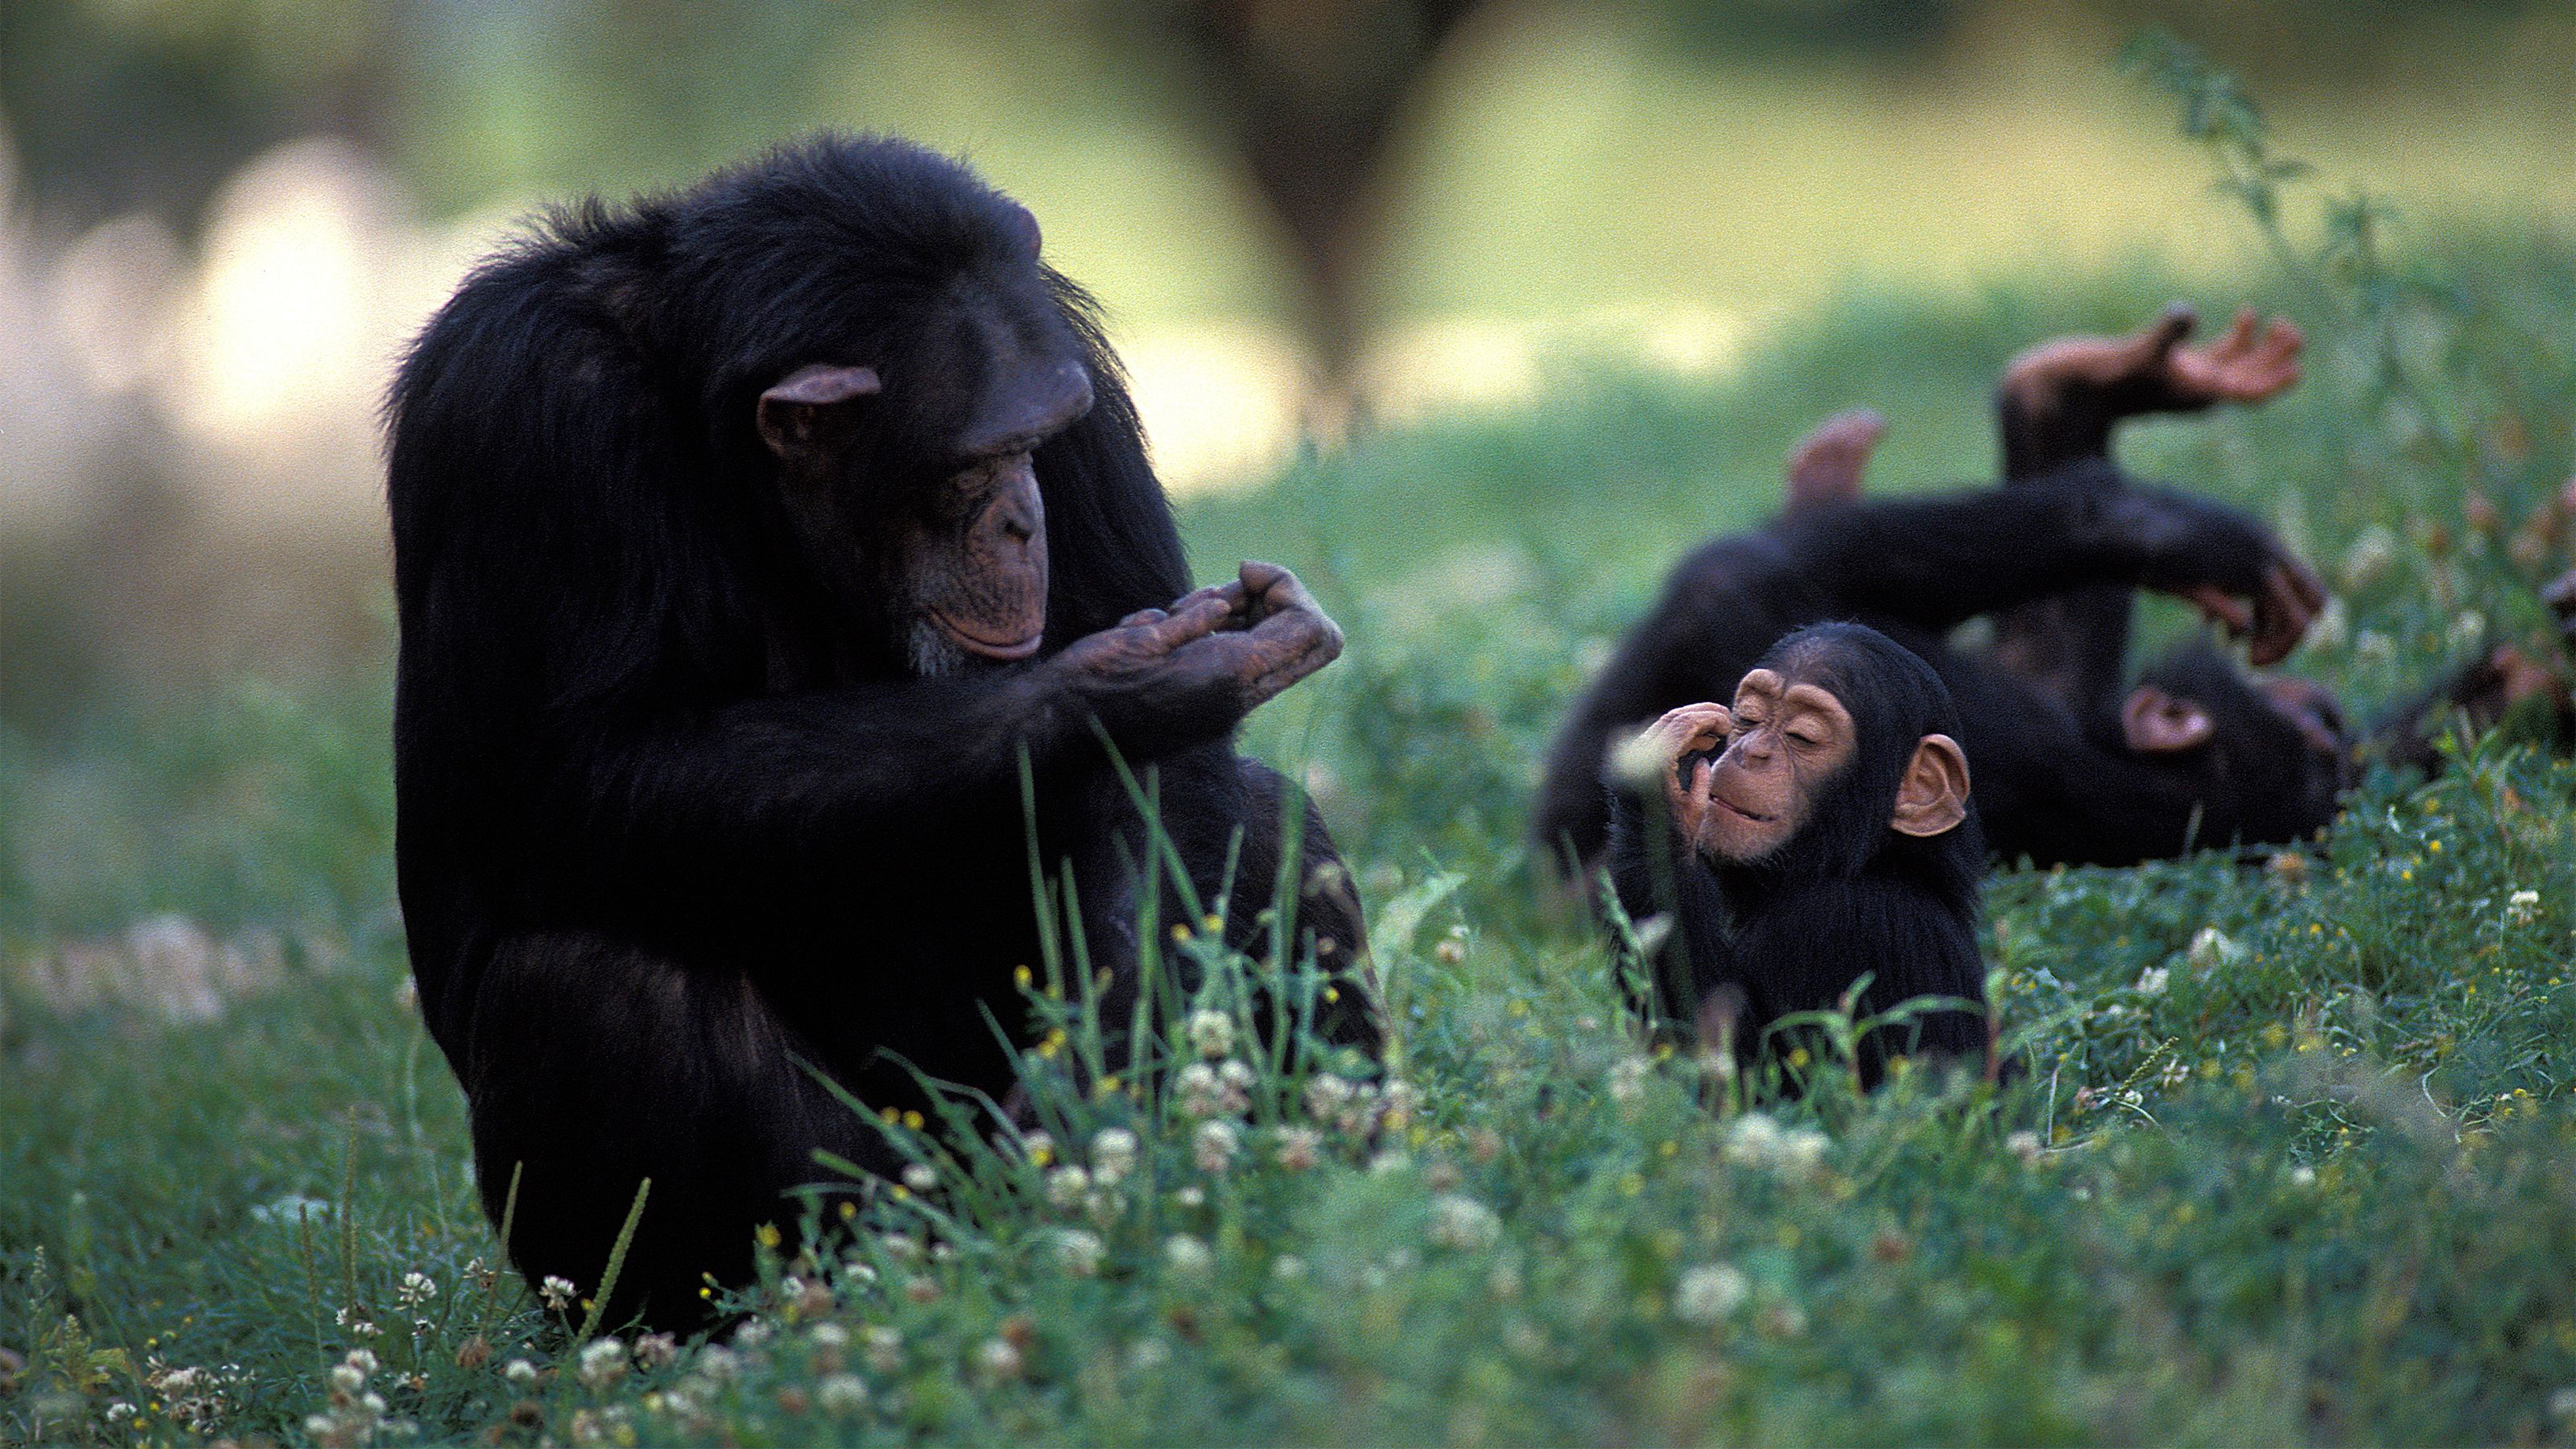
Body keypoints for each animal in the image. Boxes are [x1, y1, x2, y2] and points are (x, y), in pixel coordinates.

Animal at [383, 135, 1381, 1319]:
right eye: (969, 467)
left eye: (1040, 442)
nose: (1023, 516)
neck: (719, 437)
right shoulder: (522, 407)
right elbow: (577, 771)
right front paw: (1118, 693)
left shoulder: (1067, 355)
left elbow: (1174, 786)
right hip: (866, 1216)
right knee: (595, 991)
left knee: (1261, 818)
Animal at [1535, 301, 2349, 881]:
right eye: (2316, 715)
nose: (2326, 707)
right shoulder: (2061, 697)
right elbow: (2052, 623)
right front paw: (2095, 414)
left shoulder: (2017, 751)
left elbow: (1740, 594)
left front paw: (2167, 527)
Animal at [1607, 618, 1988, 1083]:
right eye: (1747, 718)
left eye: (1802, 737)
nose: (1751, 751)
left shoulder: (1836, 921)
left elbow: (1751, 1069)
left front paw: (1654, 794)